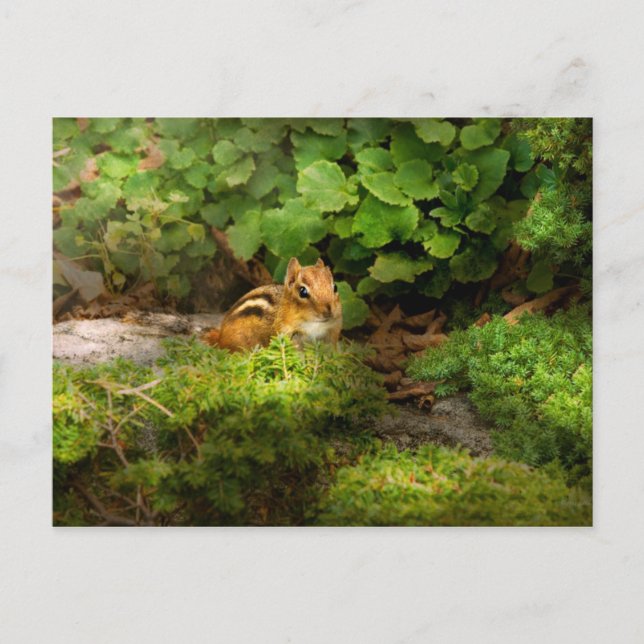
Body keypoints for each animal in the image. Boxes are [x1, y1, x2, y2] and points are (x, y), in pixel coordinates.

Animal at [204, 257, 342, 351]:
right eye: (302, 292)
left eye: (335, 287)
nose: (329, 311)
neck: (313, 325)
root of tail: (220, 336)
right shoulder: (287, 334)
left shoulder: (331, 334)